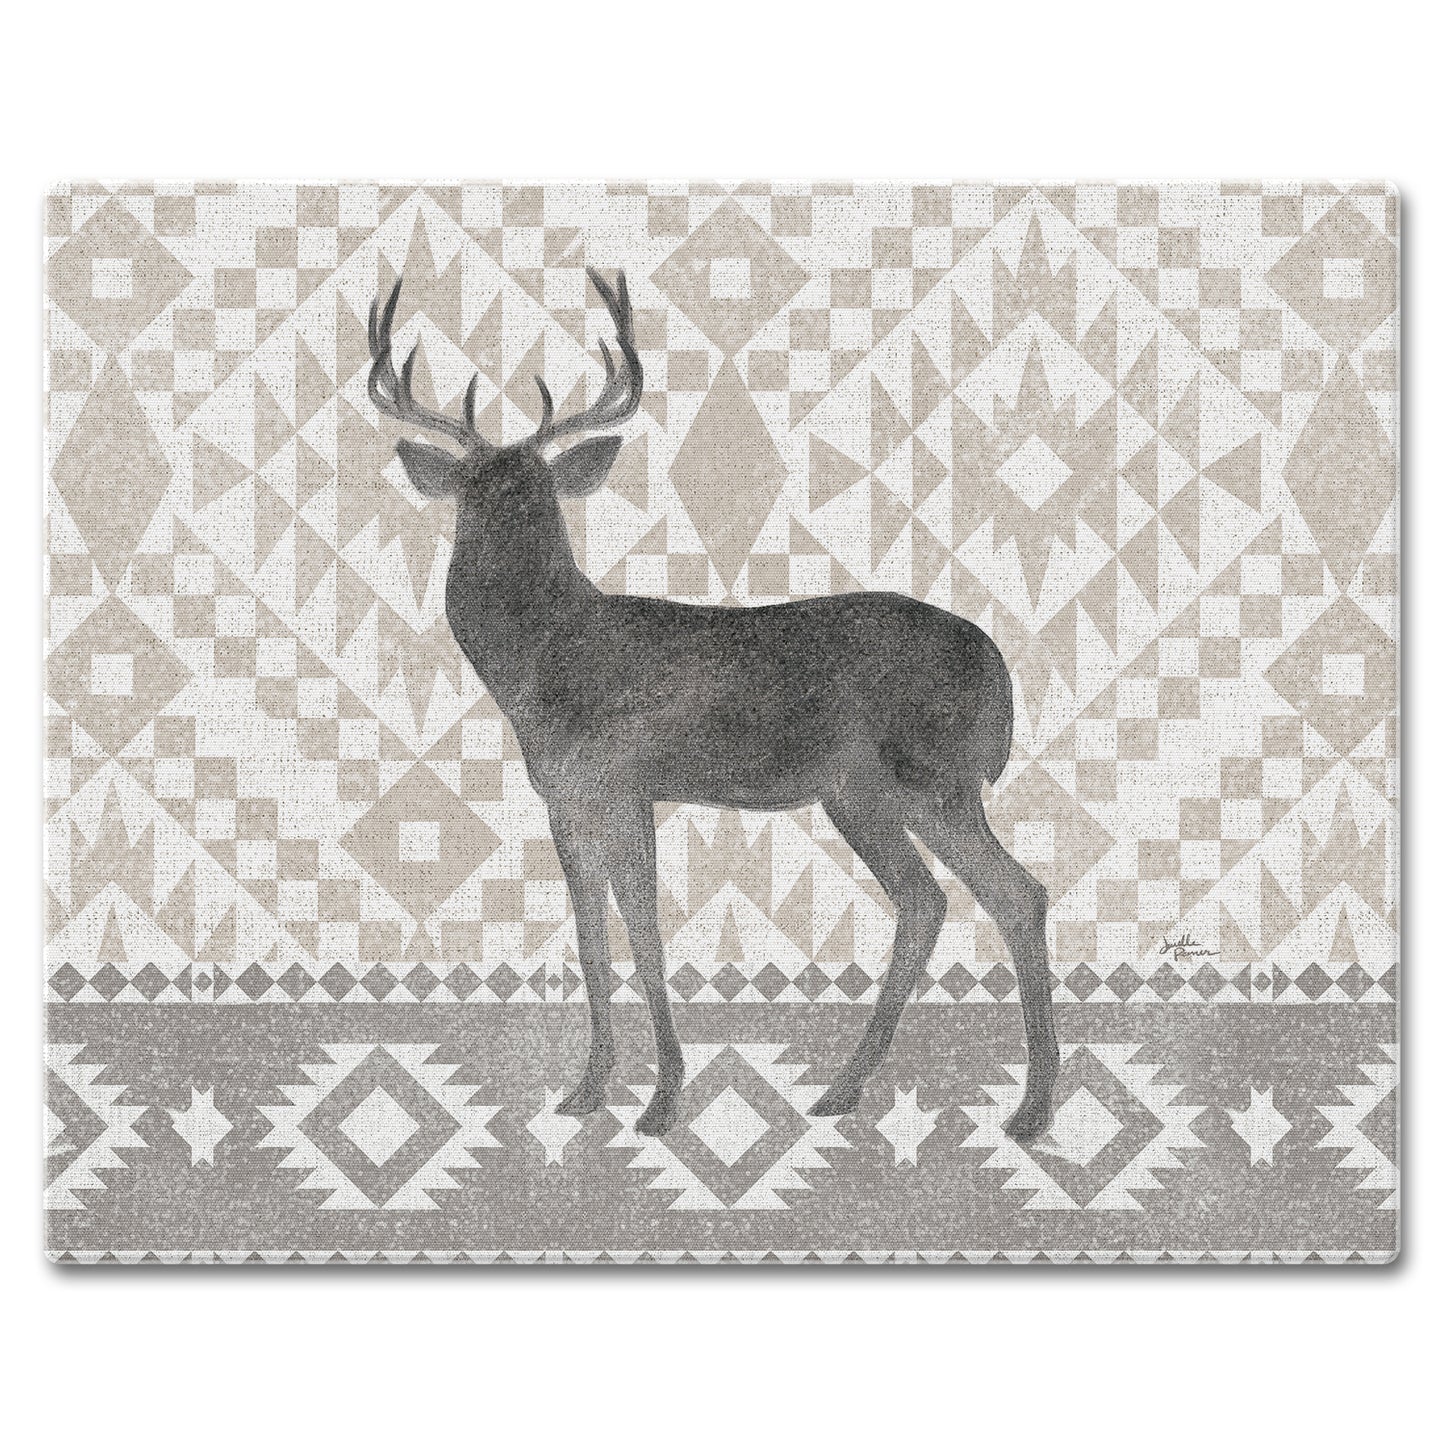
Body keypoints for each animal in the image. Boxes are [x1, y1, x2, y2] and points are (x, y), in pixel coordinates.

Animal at [367, 268, 1058, 1141]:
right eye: (470, 490)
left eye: (539, 494)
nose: (497, 544)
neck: (546, 665)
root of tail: (997, 668)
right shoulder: (564, 797)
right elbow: (589, 934)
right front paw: (586, 1089)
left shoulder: (626, 782)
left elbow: (644, 927)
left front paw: (662, 1099)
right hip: (867, 793)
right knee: (936, 899)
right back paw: (850, 1089)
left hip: (924, 777)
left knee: (1006, 893)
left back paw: (1027, 1108)